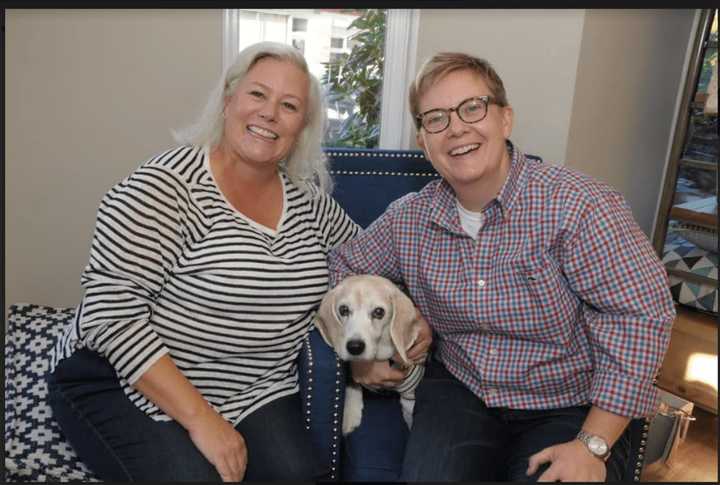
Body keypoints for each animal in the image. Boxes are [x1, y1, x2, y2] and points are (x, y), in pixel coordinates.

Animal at [314, 276, 422, 434]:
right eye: (343, 310)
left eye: (379, 312)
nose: (354, 347)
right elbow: (352, 385)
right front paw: (349, 414)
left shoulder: (409, 393)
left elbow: (410, 414)